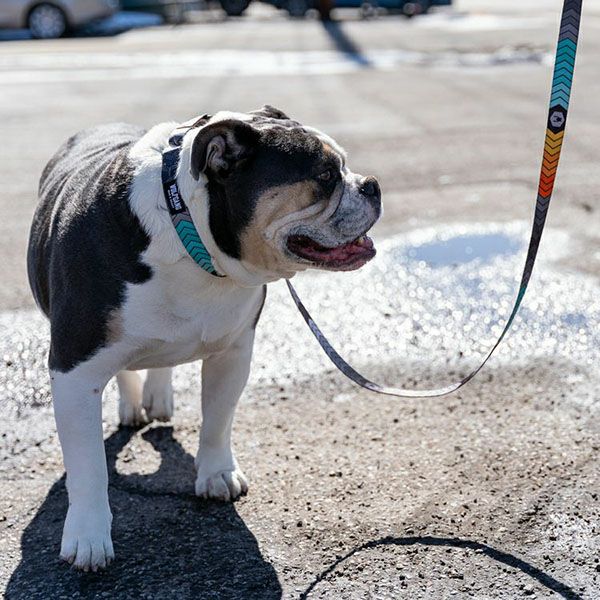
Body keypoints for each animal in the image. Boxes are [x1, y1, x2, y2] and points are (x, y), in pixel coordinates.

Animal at [27, 105, 382, 571]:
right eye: (324, 174)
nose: (372, 185)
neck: (189, 236)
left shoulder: (233, 351)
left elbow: (217, 418)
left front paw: (216, 474)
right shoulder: (74, 368)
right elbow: (88, 466)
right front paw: (87, 536)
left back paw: (157, 396)